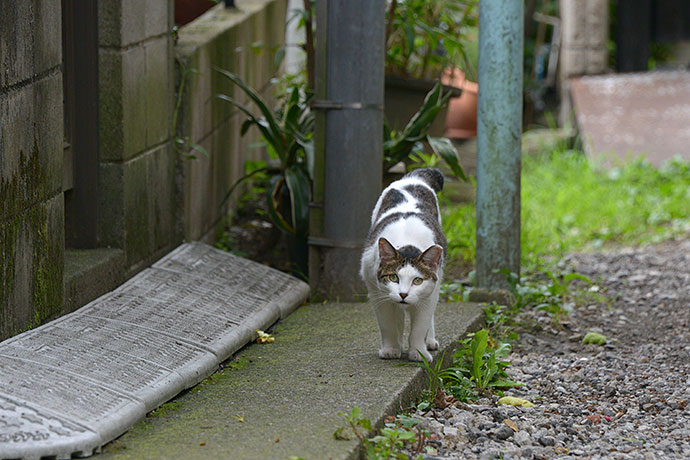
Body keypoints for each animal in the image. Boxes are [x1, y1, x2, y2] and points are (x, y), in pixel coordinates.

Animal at [360, 167, 446, 362]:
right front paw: (391, 349)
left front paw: (419, 352)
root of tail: (413, 178)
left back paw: (430, 341)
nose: (403, 294)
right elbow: (388, 324)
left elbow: (420, 326)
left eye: (417, 280)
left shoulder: (429, 294)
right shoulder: (377, 292)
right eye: (394, 277)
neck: (407, 240)